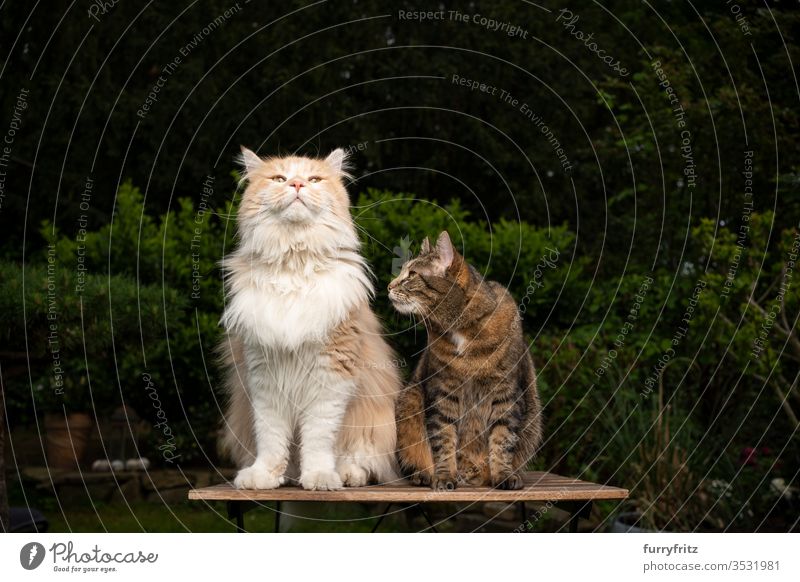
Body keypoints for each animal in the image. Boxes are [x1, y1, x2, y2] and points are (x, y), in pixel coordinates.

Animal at [219, 147, 400, 492]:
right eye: (279, 178)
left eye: (314, 179)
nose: (298, 184)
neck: (294, 264)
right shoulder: (264, 376)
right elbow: (271, 439)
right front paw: (265, 476)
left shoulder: (330, 375)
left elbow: (317, 439)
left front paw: (319, 478)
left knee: (363, 460)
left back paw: (347, 475)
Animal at [390, 230, 544, 490]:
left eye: (411, 275)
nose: (389, 285)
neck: (461, 329)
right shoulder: (443, 391)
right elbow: (443, 438)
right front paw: (444, 477)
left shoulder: (506, 393)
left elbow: (502, 439)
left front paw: (503, 475)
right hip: (408, 403)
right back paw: (424, 475)